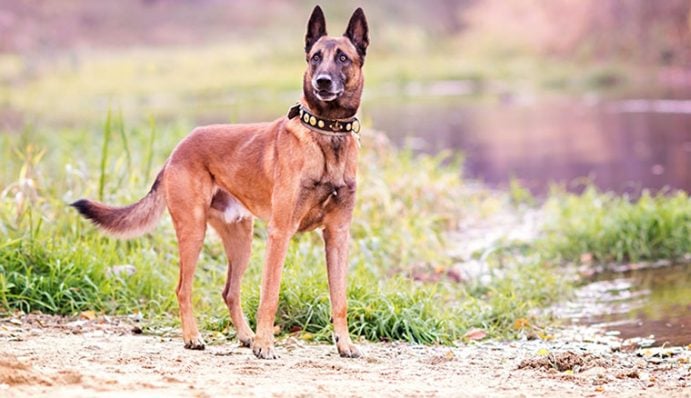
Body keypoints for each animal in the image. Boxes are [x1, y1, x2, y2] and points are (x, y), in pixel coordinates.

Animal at [71, 5, 368, 360]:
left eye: (342, 58)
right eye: (315, 58)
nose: (321, 81)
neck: (326, 133)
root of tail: (177, 149)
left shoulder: (337, 235)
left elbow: (340, 299)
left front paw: (345, 344)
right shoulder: (280, 232)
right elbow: (270, 295)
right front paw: (265, 345)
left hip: (241, 238)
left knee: (229, 291)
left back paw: (245, 336)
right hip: (193, 230)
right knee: (183, 288)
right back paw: (194, 337)